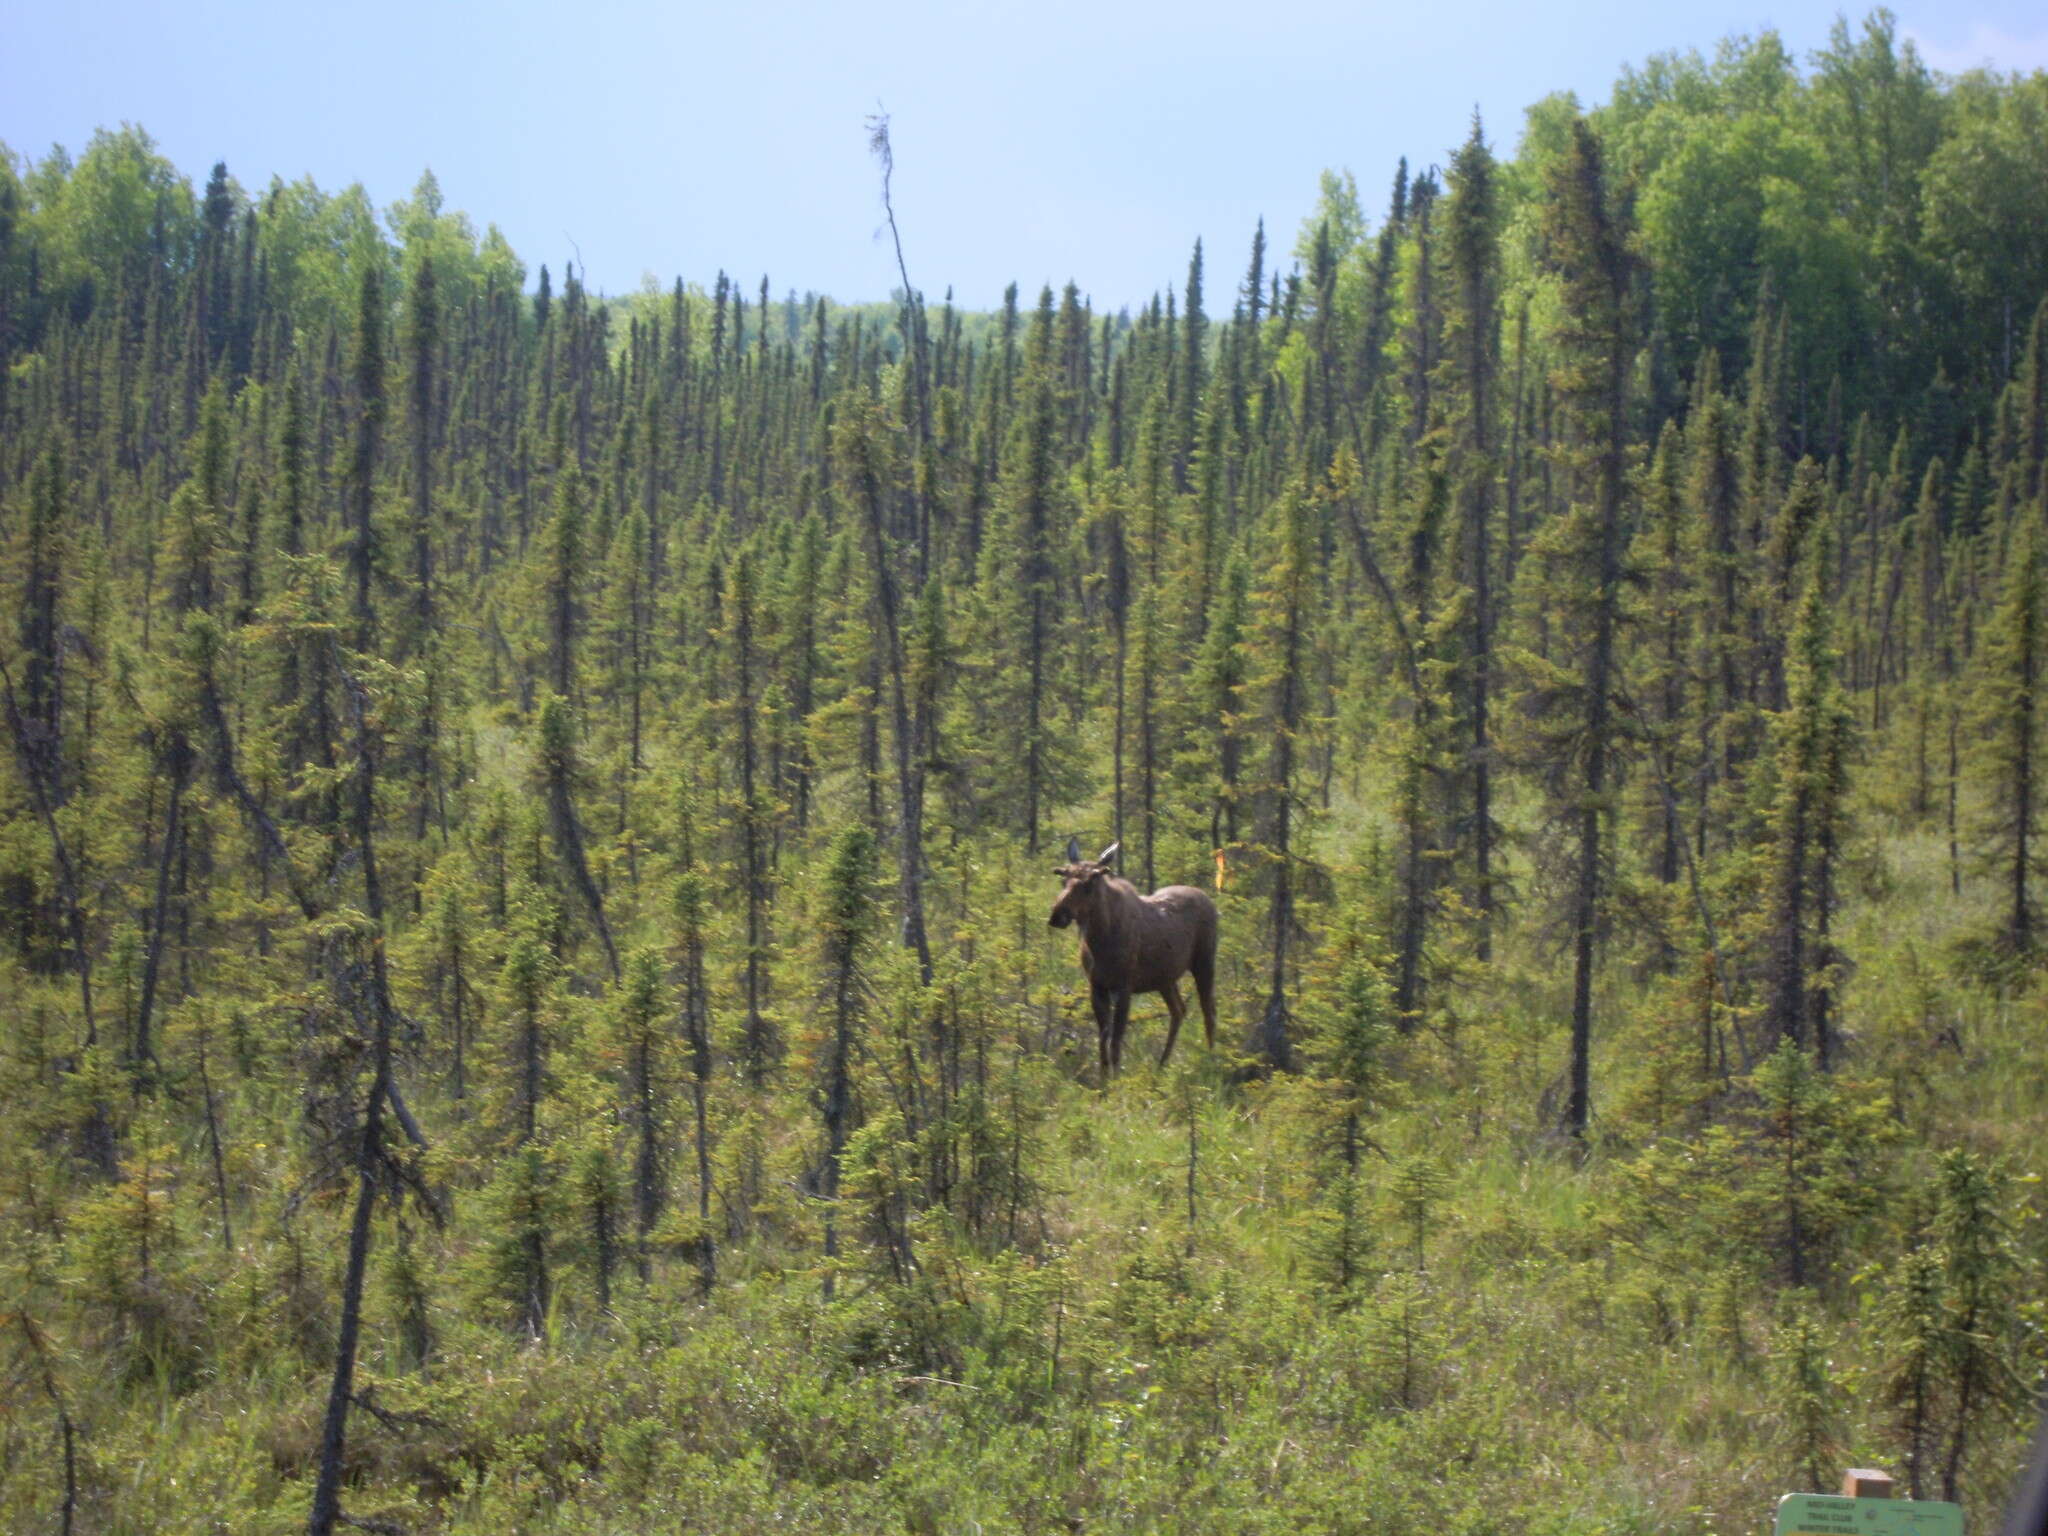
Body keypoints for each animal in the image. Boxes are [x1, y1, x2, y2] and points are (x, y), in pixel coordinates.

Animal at [1056, 843, 1212, 1081]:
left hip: (1204, 963)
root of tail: (1208, 898)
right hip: (1165, 980)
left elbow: (1116, 1040)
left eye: (1090, 882)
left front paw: (1116, 1080)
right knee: (1179, 1010)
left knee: (1208, 1011)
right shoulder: (1097, 986)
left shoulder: (1124, 987)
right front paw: (1103, 1081)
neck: (1099, 940)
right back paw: (1162, 1064)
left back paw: (1214, 1059)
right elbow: (1103, 1040)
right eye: (1064, 879)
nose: (1057, 915)